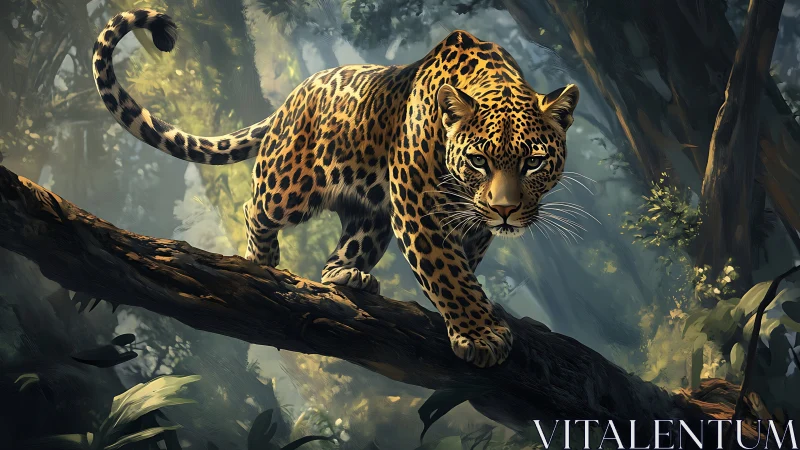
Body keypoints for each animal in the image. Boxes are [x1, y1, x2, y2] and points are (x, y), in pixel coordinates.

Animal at [92, 9, 579, 367]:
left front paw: (476, 320)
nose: (505, 210)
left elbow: (465, 268)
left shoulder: (471, 224)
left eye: (533, 162)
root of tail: (293, 97)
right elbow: (447, 272)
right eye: (479, 161)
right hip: (288, 186)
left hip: (372, 210)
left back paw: (349, 276)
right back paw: (264, 260)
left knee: (346, 248)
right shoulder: (420, 208)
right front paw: (480, 336)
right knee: (255, 208)